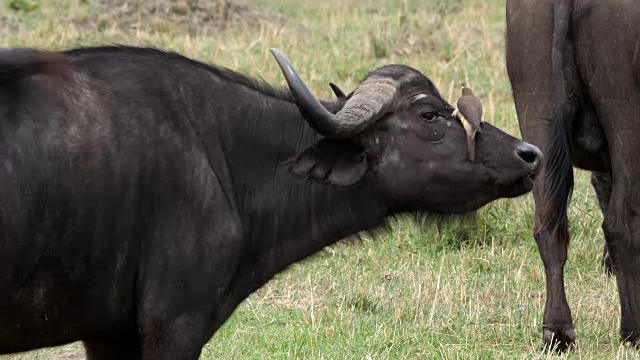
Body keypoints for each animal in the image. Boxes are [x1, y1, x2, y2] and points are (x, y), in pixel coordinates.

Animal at [508, 0, 636, 352]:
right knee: (620, 225)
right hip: (626, 121)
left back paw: (557, 332)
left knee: (549, 228)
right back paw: (633, 332)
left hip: (538, 114)